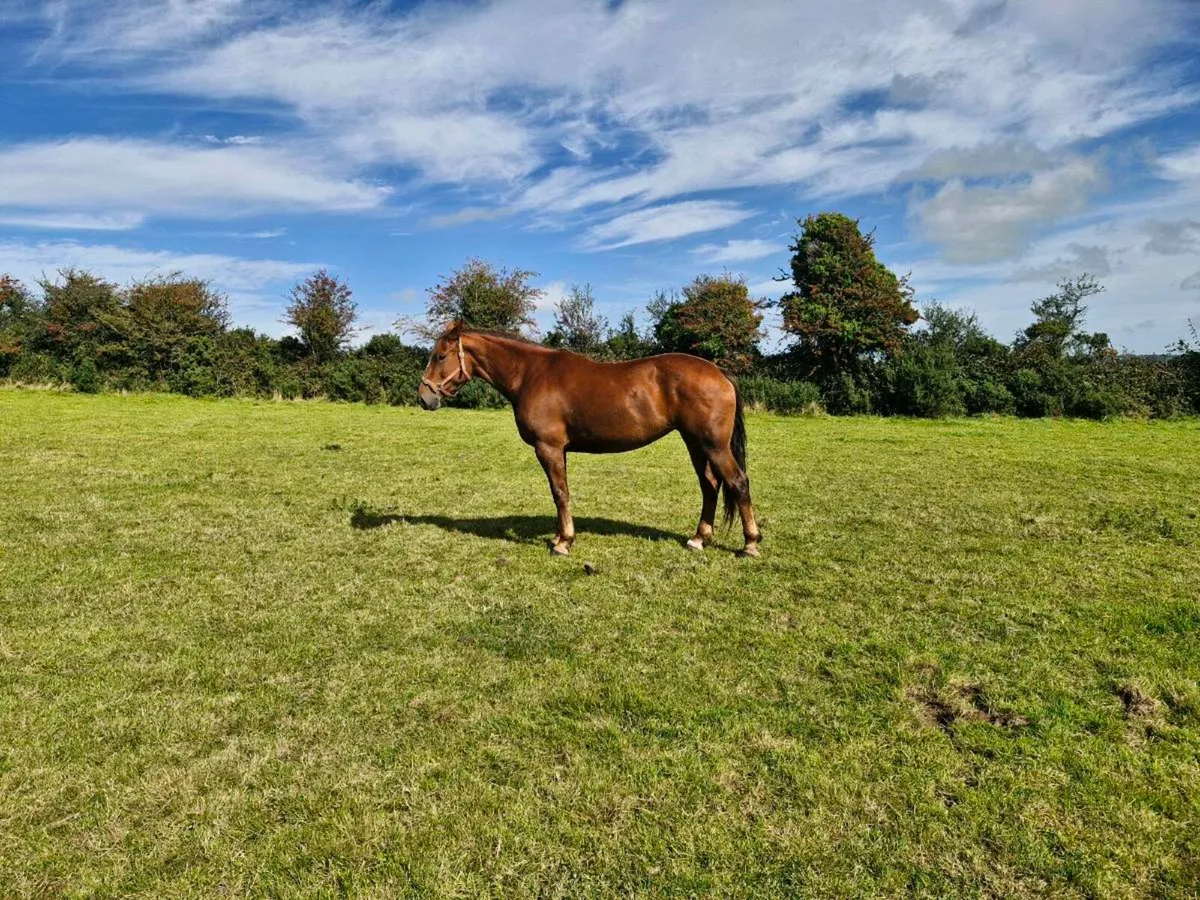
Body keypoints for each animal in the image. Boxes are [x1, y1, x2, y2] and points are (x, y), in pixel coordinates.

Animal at [416, 322, 762, 557]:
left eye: (441, 356)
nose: (423, 398)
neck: (530, 373)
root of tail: (719, 372)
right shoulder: (559, 450)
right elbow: (562, 492)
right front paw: (561, 537)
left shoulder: (549, 448)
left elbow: (559, 493)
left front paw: (563, 543)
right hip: (695, 443)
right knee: (710, 485)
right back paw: (699, 538)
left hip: (713, 445)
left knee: (738, 482)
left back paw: (750, 544)